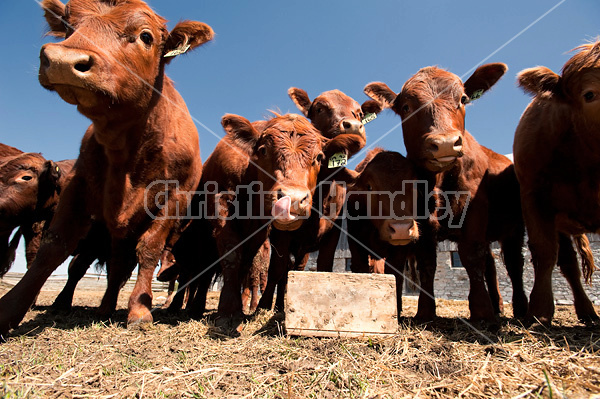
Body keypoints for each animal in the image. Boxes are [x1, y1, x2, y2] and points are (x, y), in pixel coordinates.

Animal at [0, 0, 213, 338]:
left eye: (145, 36)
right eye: (69, 25)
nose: (63, 60)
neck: (128, 149)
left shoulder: (176, 196)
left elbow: (149, 248)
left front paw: (139, 311)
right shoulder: (79, 186)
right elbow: (54, 248)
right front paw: (10, 309)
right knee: (115, 267)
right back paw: (104, 306)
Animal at [364, 65, 528, 322]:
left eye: (463, 99)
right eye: (407, 107)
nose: (445, 144)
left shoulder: (475, 210)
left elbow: (470, 255)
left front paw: (481, 310)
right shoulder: (422, 222)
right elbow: (428, 262)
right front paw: (425, 311)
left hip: (514, 227)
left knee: (513, 263)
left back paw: (520, 309)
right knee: (491, 262)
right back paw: (498, 305)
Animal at [510, 41, 600, 324]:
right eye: (589, 95)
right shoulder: (534, 197)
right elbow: (544, 251)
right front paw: (538, 313)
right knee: (569, 263)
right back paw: (586, 310)